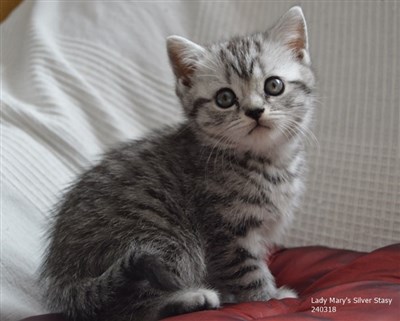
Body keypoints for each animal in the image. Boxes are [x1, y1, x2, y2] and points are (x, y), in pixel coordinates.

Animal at [40, 5, 316, 320]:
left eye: (274, 85)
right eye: (225, 98)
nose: (255, 111)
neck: (268, 161)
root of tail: (62, 276)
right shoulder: (225, 233)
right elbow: (248, 272)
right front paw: (268, 297)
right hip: (163, 238)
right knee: (127, 307)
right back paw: (191, 298)